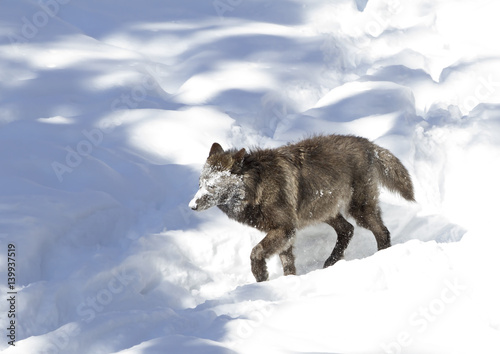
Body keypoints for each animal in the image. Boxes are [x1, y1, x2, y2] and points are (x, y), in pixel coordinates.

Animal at [188, 135, 414, 282]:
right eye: (200, 184)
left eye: (212, 186)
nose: (192, 206)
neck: (257, 186)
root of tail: (368, 144)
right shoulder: (286, 233)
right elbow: (288, 263)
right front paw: (289, 284)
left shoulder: (285, 229)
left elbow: (255, 252)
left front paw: (261, 276)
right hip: (321, 211)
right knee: (347, 230)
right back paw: (330, 263)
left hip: (358, 210)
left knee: (382, 232)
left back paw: (382, 257)